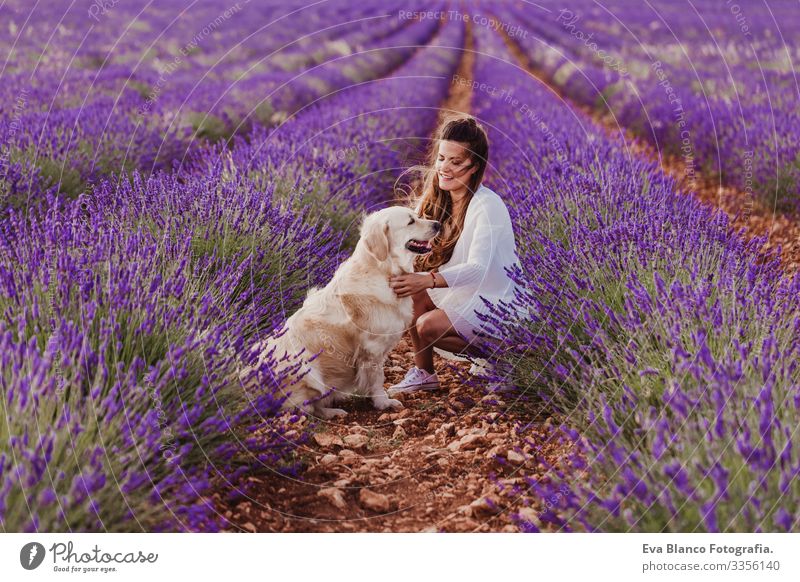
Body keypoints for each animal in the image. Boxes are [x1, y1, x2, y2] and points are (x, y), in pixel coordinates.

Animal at [247, 208, 440, 418]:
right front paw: (382, 402)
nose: (438, 224)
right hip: (306, 371)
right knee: (306, 410)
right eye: (411, 221)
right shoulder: (372, 348)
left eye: (417, 215)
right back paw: (332, 412)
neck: (382, 269)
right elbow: (377, 378)